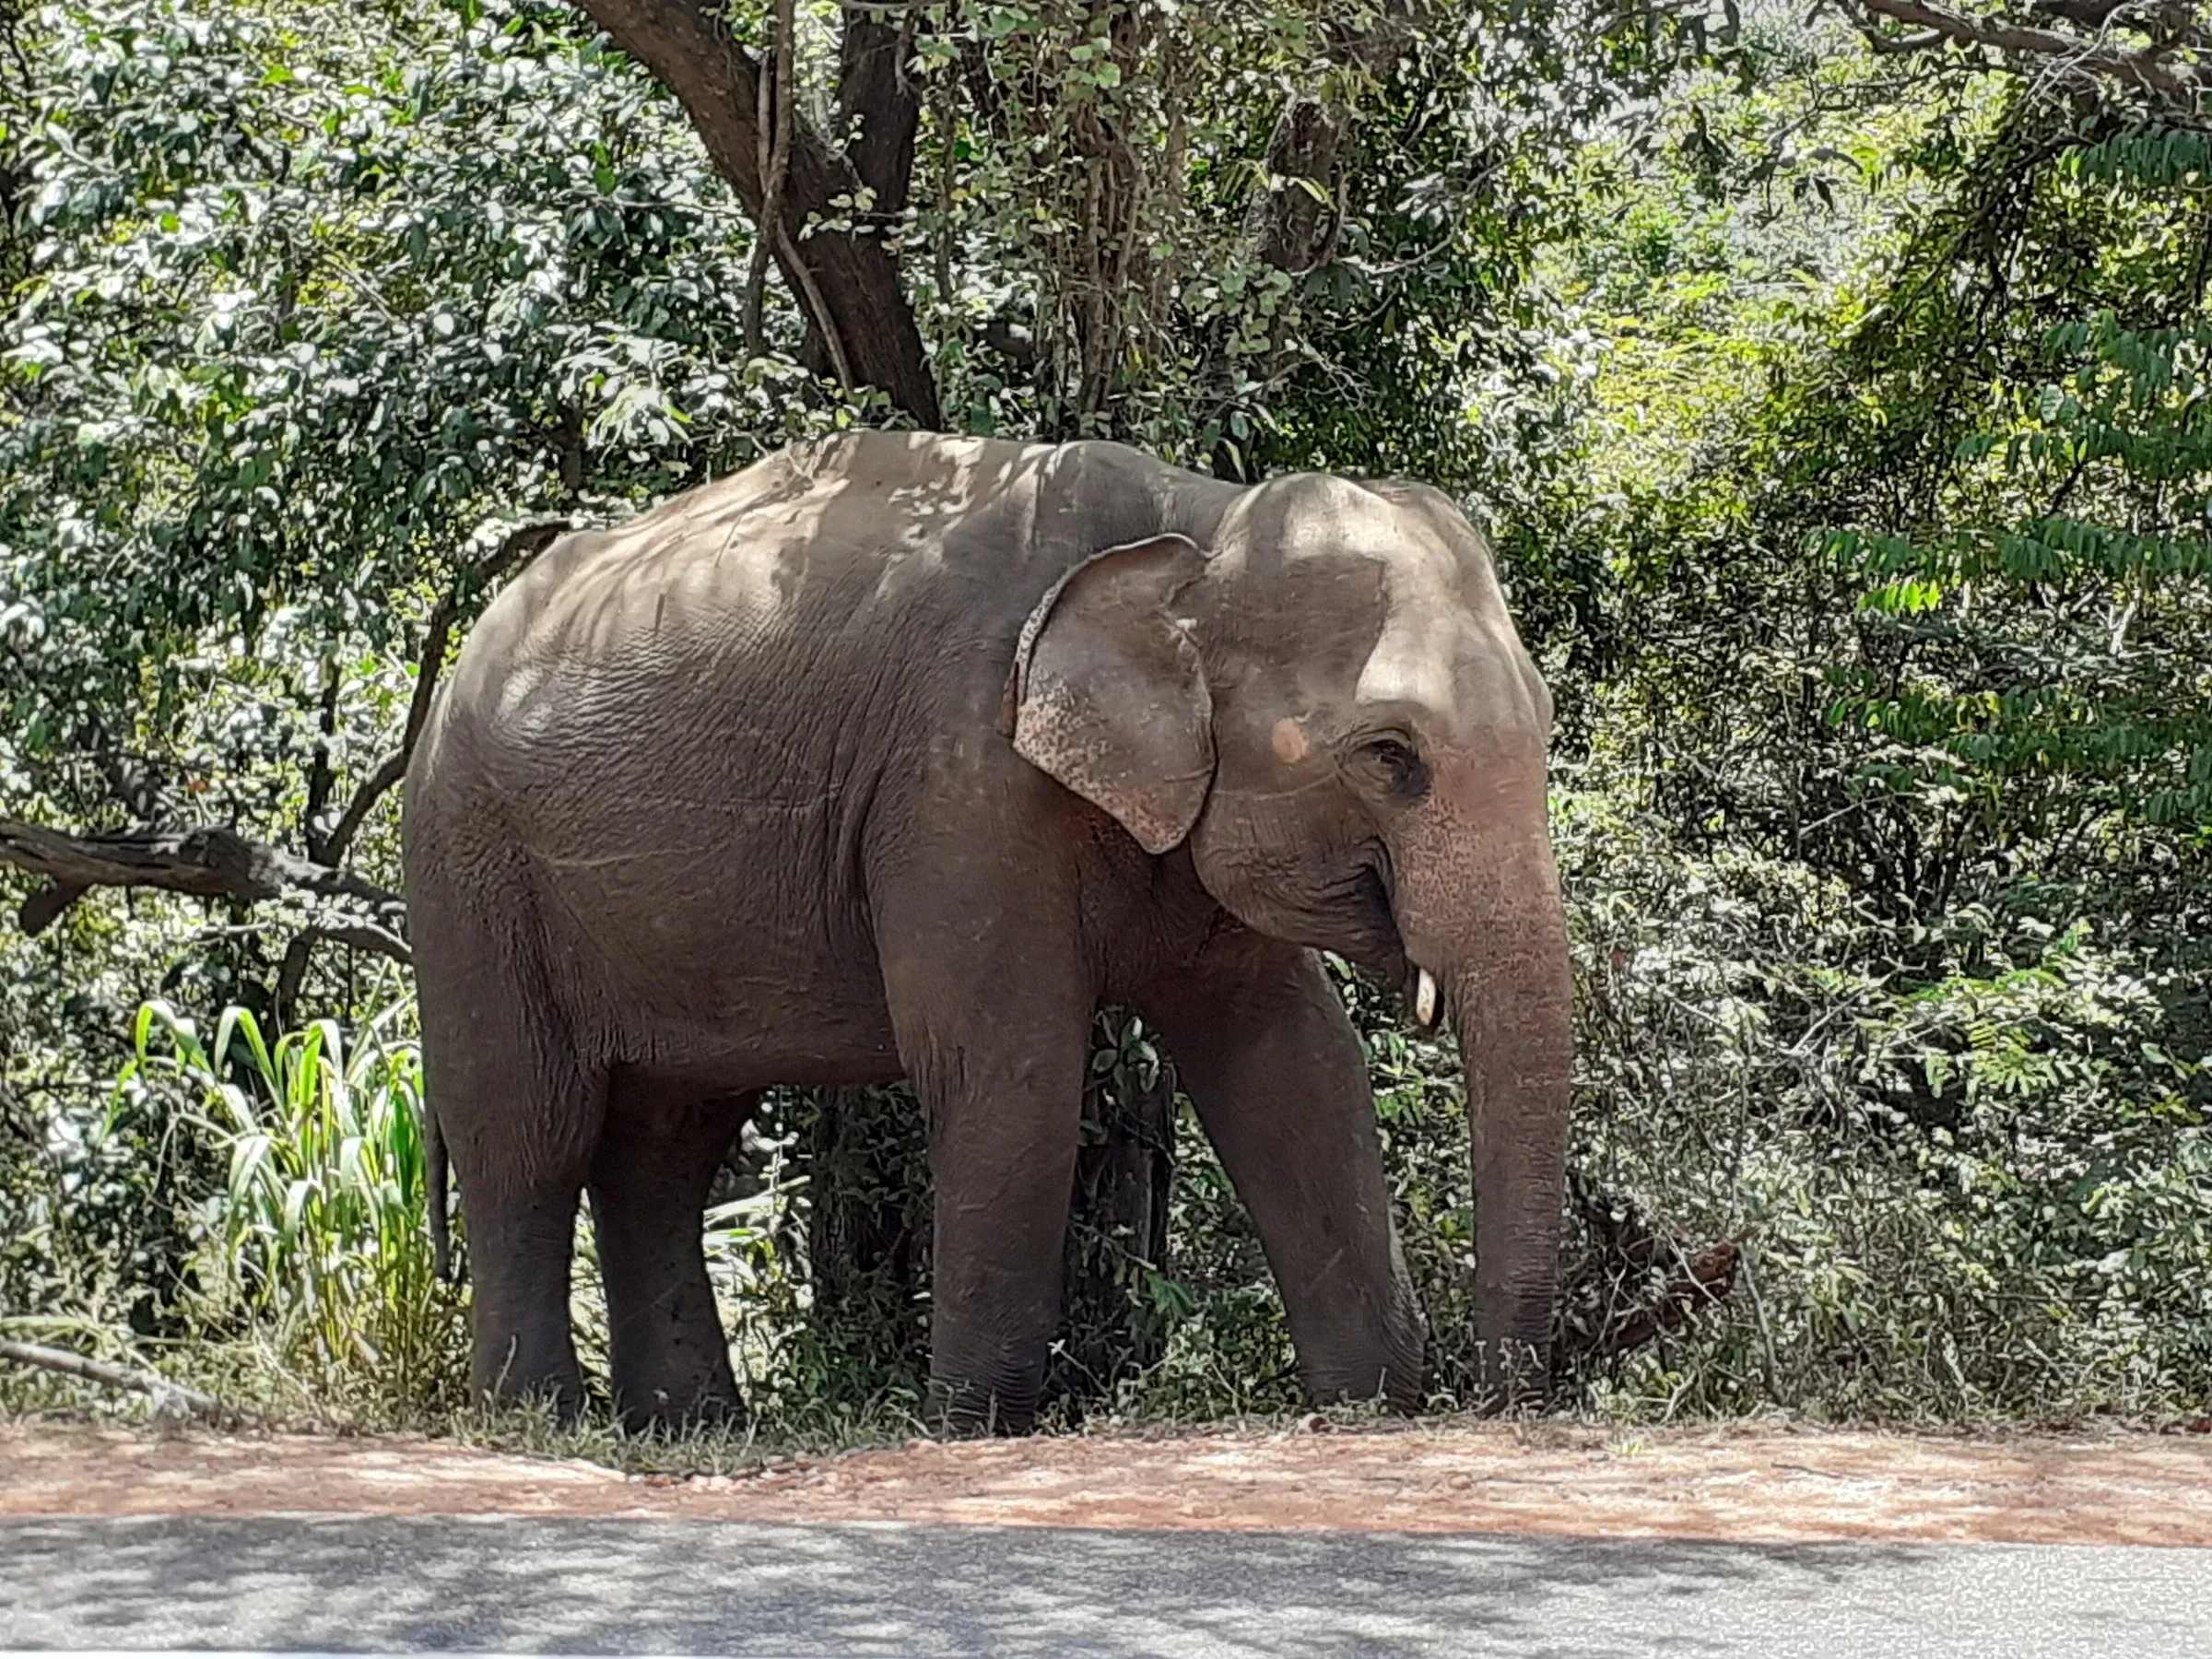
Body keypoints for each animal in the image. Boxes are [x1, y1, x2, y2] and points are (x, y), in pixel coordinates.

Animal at [402, 430, 1573, 1432]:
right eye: (1390, 756)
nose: (1496, 1399)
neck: (1199, 521)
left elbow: (1292, 1060)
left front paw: (1373, 1404)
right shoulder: (958, 779)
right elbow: (1009, 1064)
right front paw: (974, 1423)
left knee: (666, 1148)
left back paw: (691, 1425)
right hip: (468, 867)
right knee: (527, 1130)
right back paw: (538, 1418)